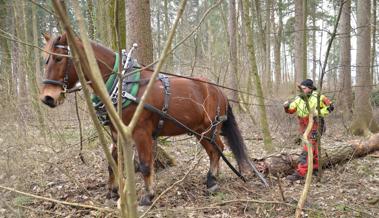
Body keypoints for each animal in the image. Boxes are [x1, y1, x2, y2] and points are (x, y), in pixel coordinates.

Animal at [40, 31, 249, 204]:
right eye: (45, 60)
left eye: (58, 59)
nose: (47, 97)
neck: (122, 85)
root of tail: (218, 91)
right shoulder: (117, 132)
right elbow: (113, 163)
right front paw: (113, 191)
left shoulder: (141, 132)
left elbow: (145, 165)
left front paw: (148, 196)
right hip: (198, 131)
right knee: (214, 151)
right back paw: (213, 178)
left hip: (209, 129)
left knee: (218, 149)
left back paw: (212, 181)